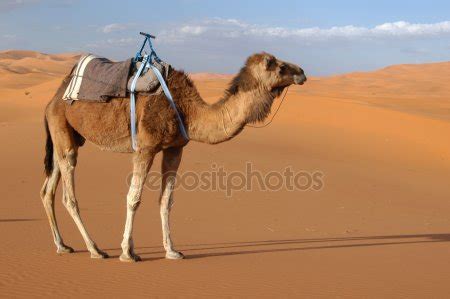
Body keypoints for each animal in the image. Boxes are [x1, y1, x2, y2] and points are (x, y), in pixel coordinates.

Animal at [40, 52, 306, 262]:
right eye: (277, 65)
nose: (302, 72)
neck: (187, 111)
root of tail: (53, 98)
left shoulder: (175, 148)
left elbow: (166, 201)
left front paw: (172, 251)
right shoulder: (145, 148)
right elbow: (133, 198)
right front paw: (128, 252)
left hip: (66, 135)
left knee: (47, 190)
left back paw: (62, 245)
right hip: (62, 128)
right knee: (68, 194)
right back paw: (95, 249)